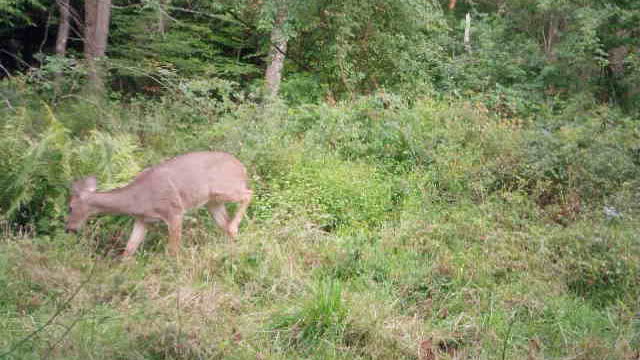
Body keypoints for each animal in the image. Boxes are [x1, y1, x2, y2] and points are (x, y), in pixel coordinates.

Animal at [64, 151, 250, 256]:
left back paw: (234, 228)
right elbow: (129, 249)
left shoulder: (174, 211)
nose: (69, 229)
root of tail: (242, 168)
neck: (137, 200)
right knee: (224, 222)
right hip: (213, 202)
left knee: (248, 194)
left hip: (224, 188)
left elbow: (173, 250)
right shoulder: (142, 220)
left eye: (70, 207)